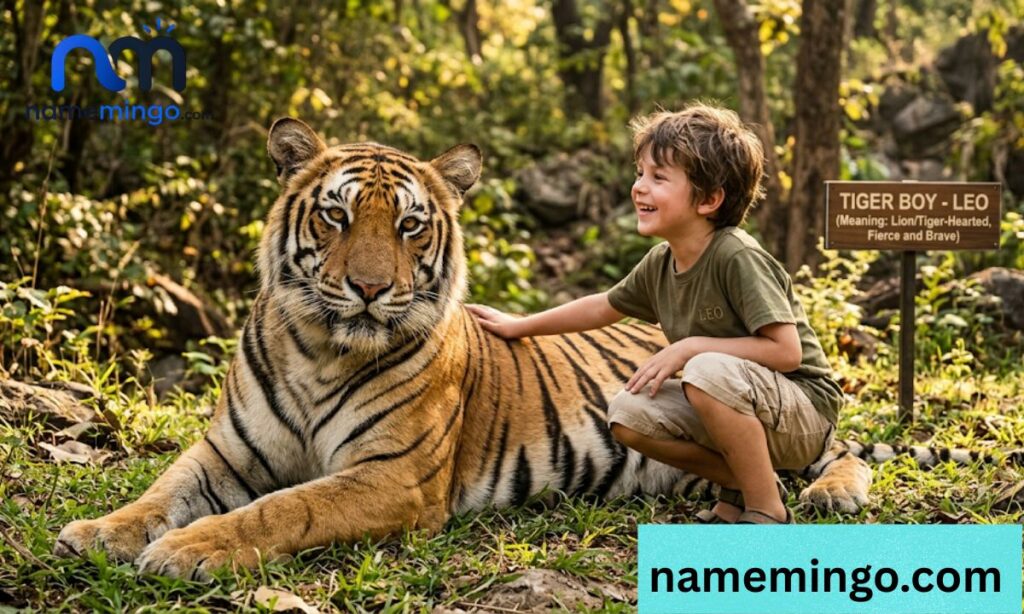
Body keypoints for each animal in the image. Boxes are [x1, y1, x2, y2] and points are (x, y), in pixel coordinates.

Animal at [54, 117, 873, 580]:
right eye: (335, 215)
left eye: (410, 225)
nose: (369, 289)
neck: (321, 349)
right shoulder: (226, 452)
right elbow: (160, 492)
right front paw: (99, 533)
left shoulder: (391, 476)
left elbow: (284, 509)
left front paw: (188, 551)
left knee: (840, 447)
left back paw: (827, 493)